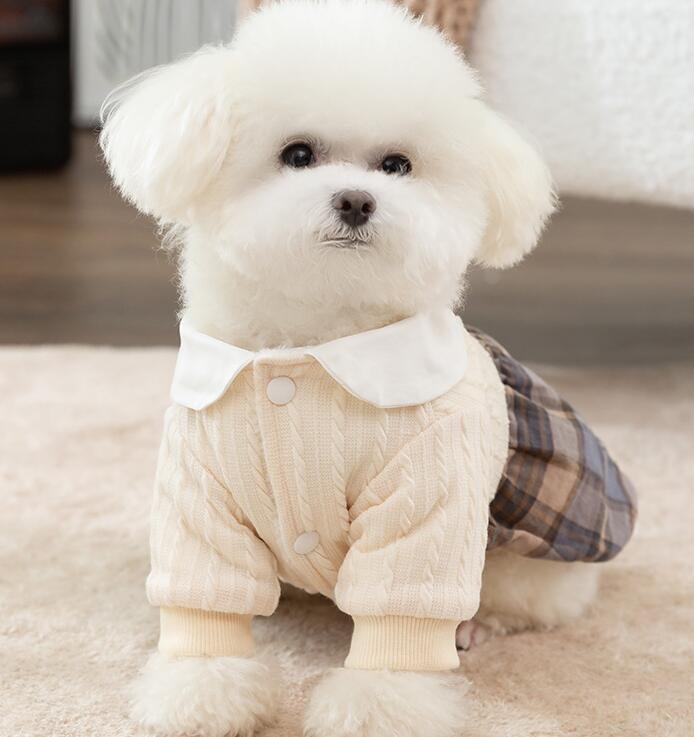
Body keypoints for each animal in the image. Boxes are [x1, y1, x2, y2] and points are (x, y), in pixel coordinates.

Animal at [100, 1, 599, 735]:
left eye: (397, 164)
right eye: (297, 154)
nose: (357, 200)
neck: (312, 345)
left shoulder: (430, 494)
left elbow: (401, 614)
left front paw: (379, 704)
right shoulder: (197, 491)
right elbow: (205, 600)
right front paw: (201, 690)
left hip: (521, 565)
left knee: (522, 601)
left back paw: (475, 626)